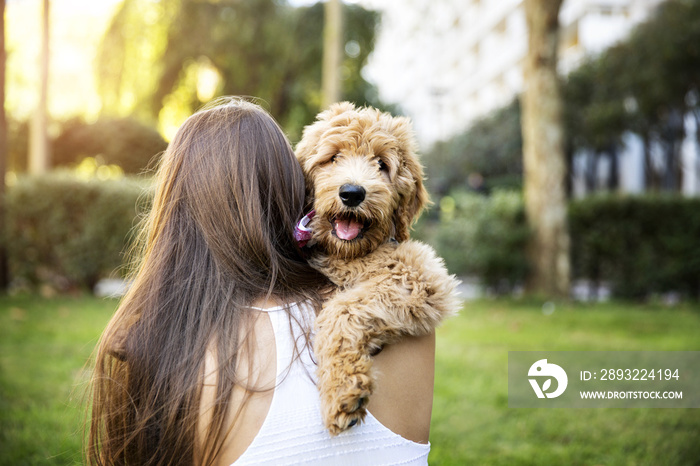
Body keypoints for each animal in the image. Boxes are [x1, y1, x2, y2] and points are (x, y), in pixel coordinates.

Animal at [296, 103, 464, 436]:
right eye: (333, 157)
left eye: (381, 164)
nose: (352, 193)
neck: (348, 254)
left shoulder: (421, 274)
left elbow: (342, 307)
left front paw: (342, 391)